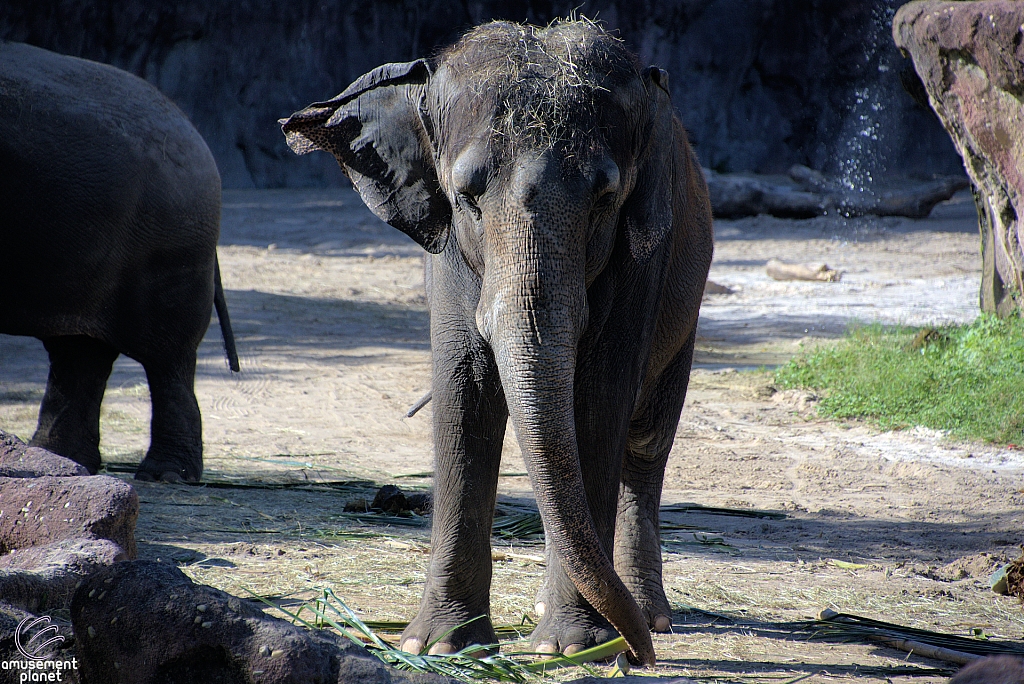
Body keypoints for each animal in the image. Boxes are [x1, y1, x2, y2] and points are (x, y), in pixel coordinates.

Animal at [280, 20, 712, 663]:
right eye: (467, 197)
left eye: (605, 199)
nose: (638, 656)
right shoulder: (446, 251)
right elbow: (465, 393)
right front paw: (440, 647)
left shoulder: (642, 259)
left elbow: (598, 398)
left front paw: (572, 649)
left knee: (646, 442)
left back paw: (645, 618)